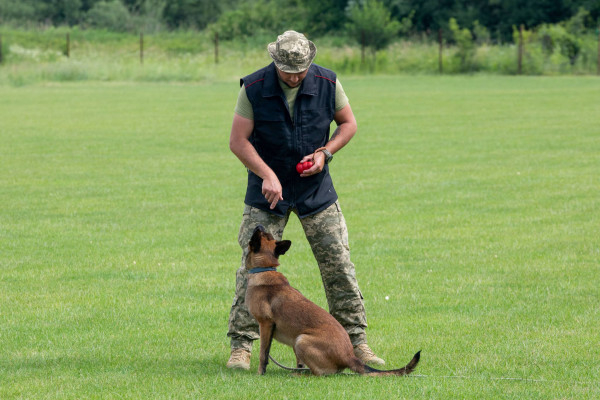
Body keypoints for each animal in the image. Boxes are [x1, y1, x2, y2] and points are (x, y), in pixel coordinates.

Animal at [244, 227, 422, 376]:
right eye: (266, 234)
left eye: (260, 235)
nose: (259, 225)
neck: (264, 268)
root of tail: (350, 356)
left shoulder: (265, 325)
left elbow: (263, 353)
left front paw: (260, 373)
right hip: (297, 341)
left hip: (301, 340)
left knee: (321, 373)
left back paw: (301, 374)